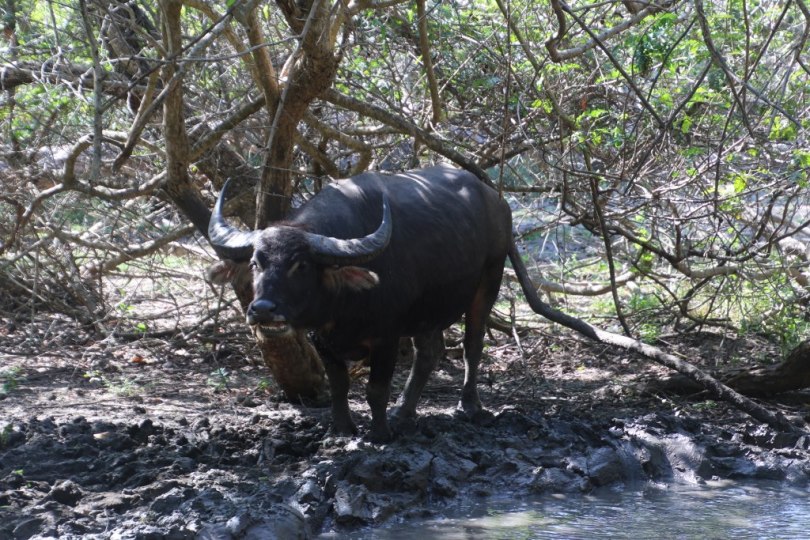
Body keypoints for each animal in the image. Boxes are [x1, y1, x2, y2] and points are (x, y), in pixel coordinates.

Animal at [209, 165, 518, 442]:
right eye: (254, 263)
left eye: (302, 265)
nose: (263, 310)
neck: (343, 305)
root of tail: (497, 200)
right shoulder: (322, 340)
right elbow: (339, 386)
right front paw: (341, 430)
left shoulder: (387, 338)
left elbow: (376, 390)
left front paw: (379, 434)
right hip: (428, 309)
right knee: (429, 352)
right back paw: (403, 412)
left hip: (490, 278)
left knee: (472, 345)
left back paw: (469, 406)